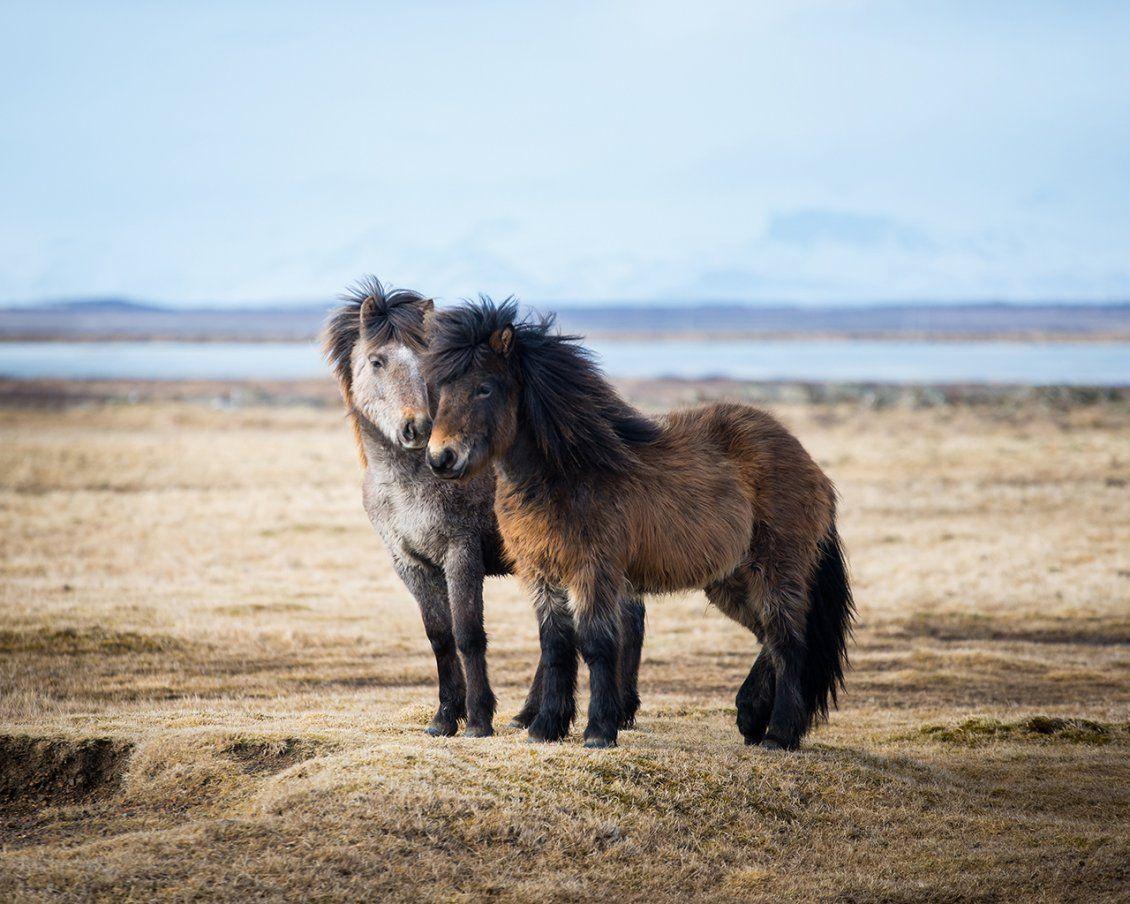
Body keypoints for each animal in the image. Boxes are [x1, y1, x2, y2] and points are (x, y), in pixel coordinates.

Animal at [321, 277, 646, 738]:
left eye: (427, 364)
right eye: (377, 361)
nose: (417, 428)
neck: (408, 481)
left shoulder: (461, 553)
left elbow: (468, 633)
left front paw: (477, 719)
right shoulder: (409, 563)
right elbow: (439, 635)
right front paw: (444, 717)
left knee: (624, 617)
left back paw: (616, 711)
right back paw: (531, 714)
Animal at [422, 297, 855, 750]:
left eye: (484, 387)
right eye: (442, 388)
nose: (441, 458)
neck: (569, 471)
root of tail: (809, 463)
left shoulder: (593, 571)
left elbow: (596, 644)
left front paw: (598, 732)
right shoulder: (542, 573)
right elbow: (555, 646)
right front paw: (546, 728)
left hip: (775, 569)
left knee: (789, 641)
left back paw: (779, 733)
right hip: (730, 579)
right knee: (768, 637)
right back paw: (750, 715)